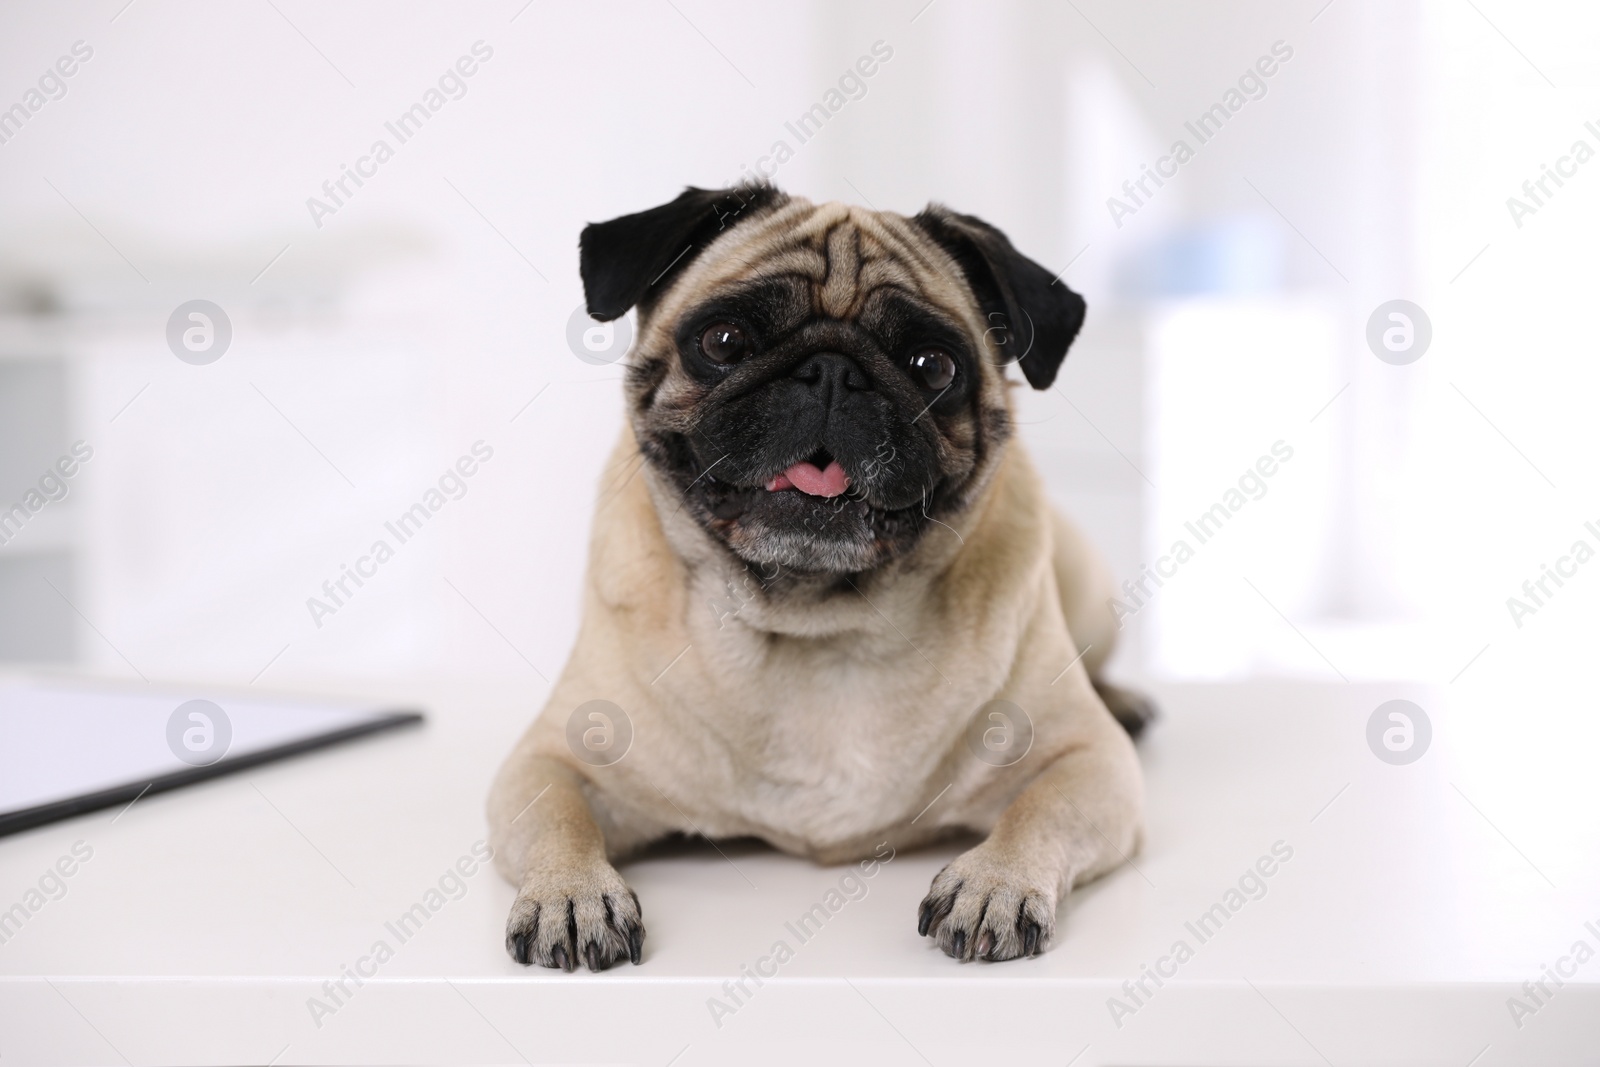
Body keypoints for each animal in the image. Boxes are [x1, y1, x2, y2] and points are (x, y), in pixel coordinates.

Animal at [486, 185, 1152, 979]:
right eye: (723, 343)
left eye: (933, 366)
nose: (833, 372)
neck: (817, 624)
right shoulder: (552, 757)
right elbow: (557, 813)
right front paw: (572, 892)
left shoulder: (1088, 761)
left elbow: (1039, 808)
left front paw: (995, 882)